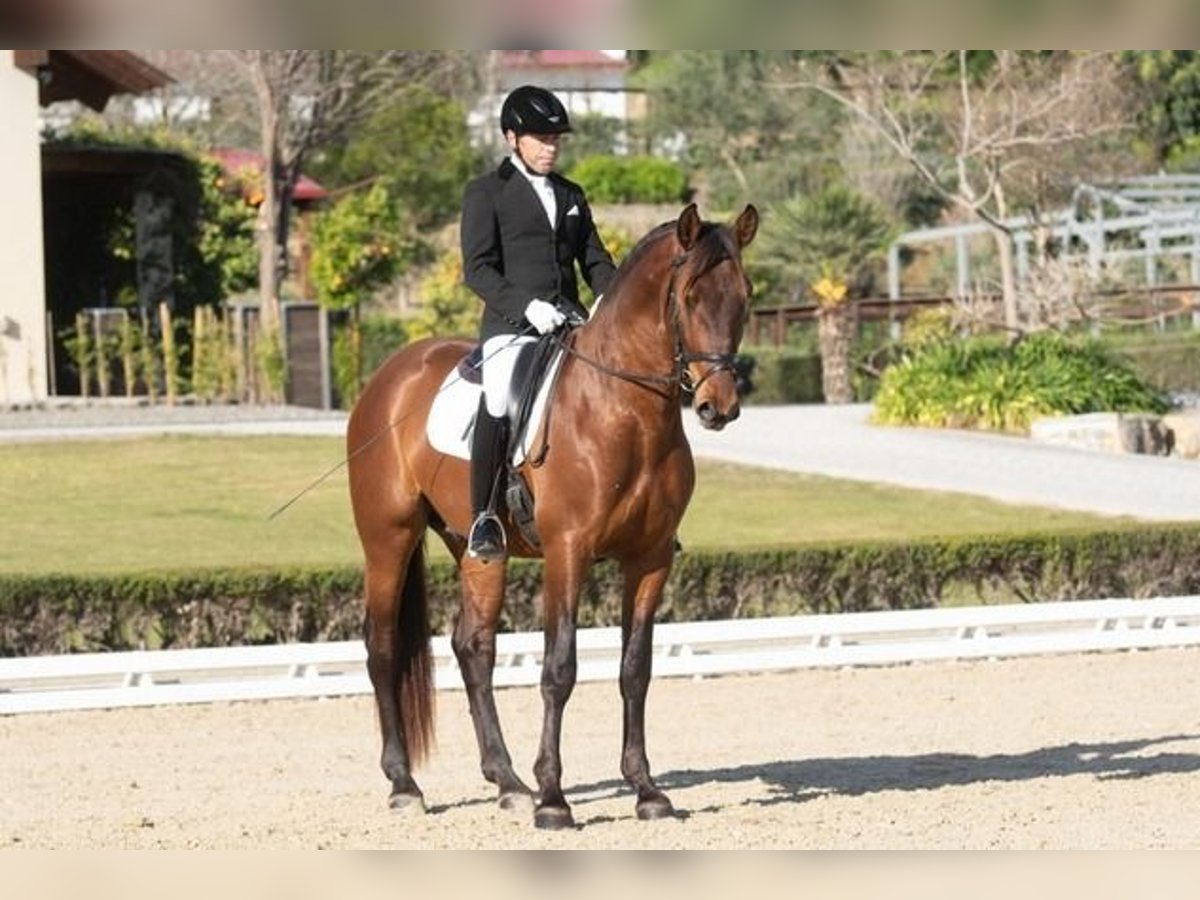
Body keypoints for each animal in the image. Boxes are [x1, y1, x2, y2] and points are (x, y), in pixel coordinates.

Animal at [350, 202, 758, 830]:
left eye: (744, 295)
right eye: (689, 296)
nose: (720, 407)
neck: (626, 412)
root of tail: (392, 373)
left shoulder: (650, 559)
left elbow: (635, 670)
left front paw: (646, 791)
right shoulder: (569, 550)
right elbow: (559, 668)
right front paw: (553, 799)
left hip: (476, 549)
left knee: (474, 648)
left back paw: (507, 782)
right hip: (388, 538)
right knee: (384, 645)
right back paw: (405, 785)